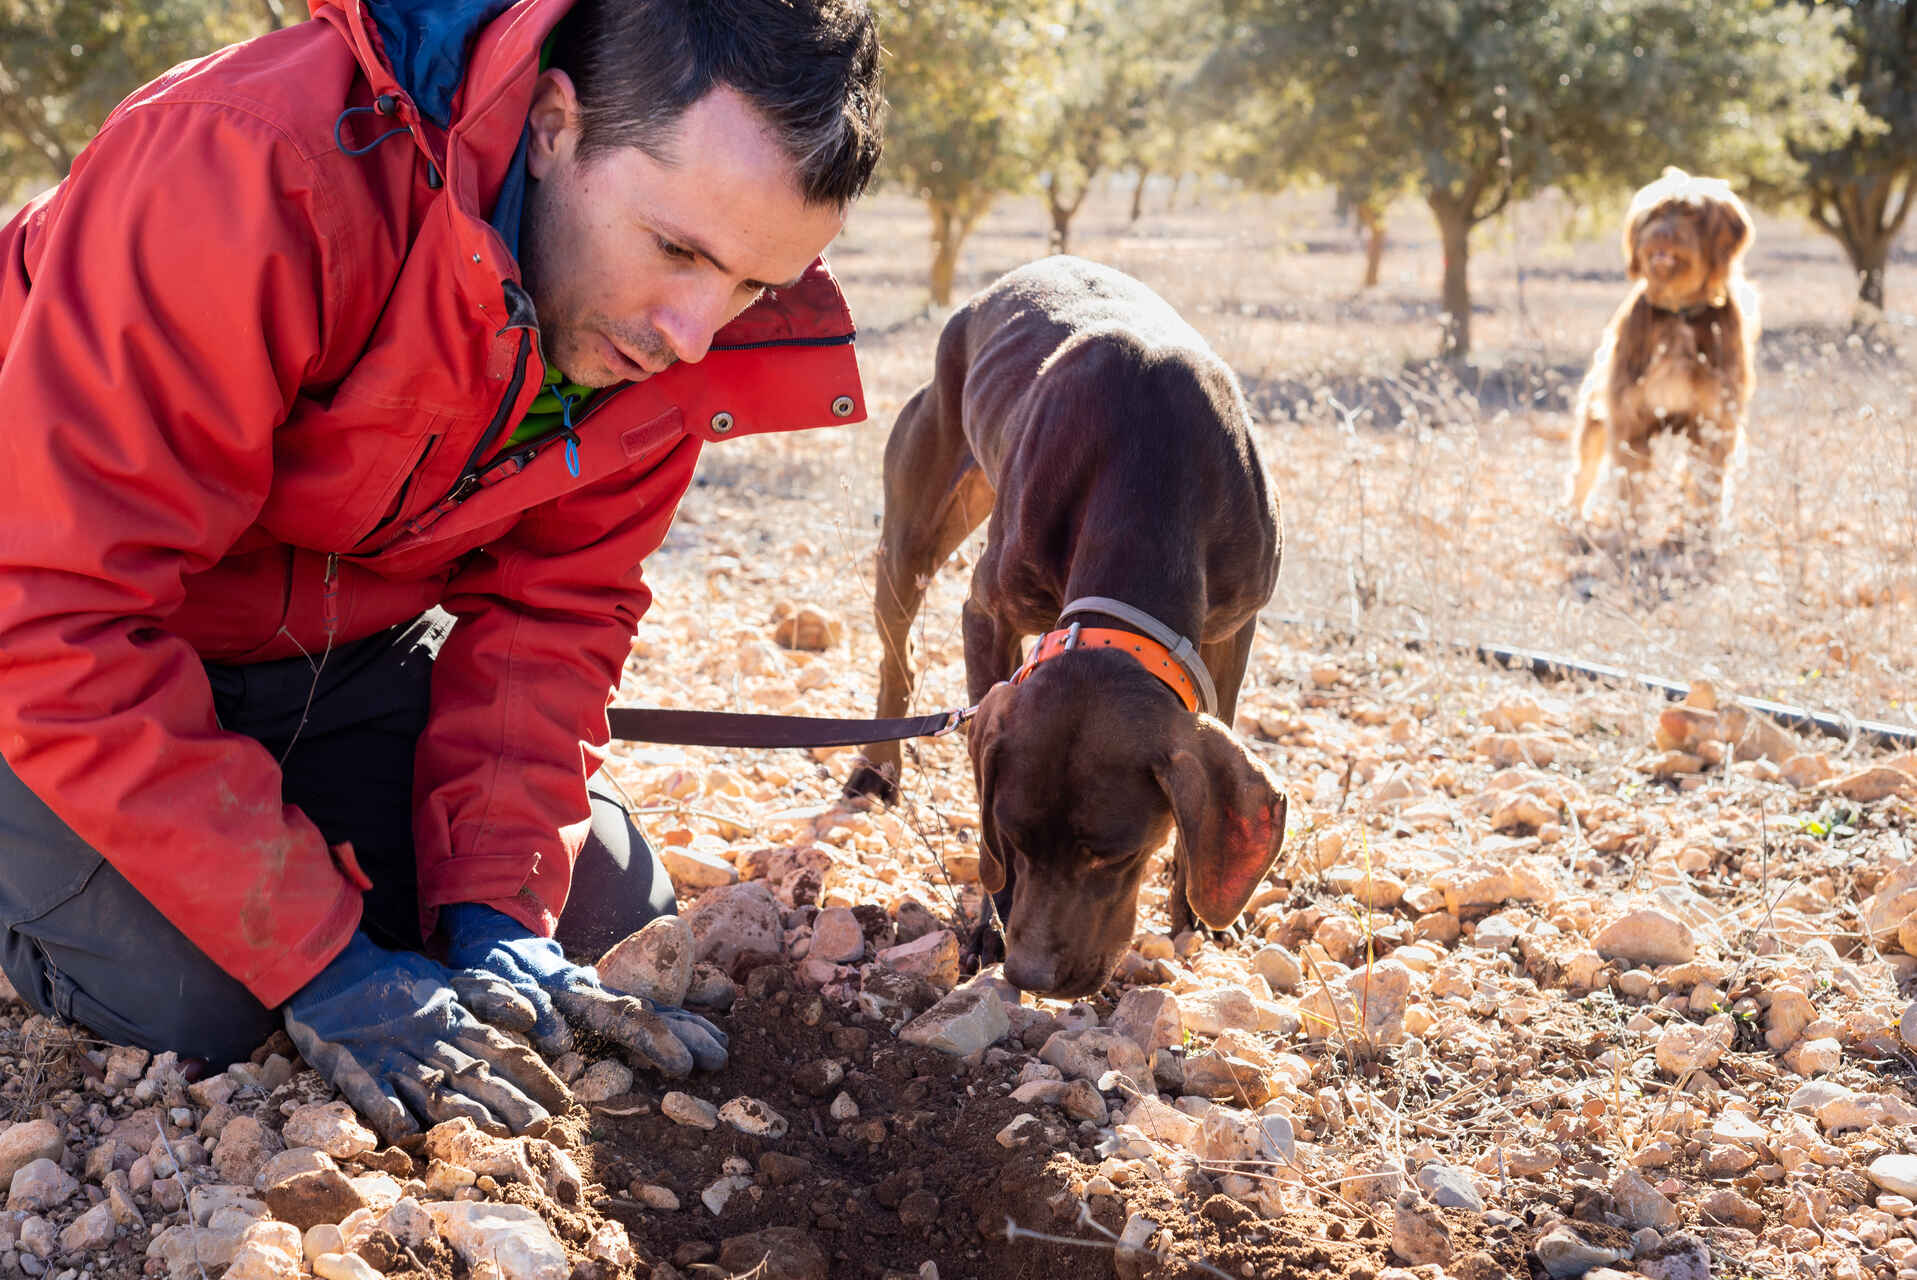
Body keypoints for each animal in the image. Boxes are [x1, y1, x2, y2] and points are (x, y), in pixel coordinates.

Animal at [1564, 164, 1755, 536]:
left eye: (1692, 213)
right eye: (1656, 214)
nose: (1663, 234)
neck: (1678, 310)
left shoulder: (1713, 421)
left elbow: (1706, 481)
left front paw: (1702, 531)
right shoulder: (1630, 417)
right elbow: (1630, 482)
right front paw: (1630, 531)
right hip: (1595, 414)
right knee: (1584, 468)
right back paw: (1573, 517)